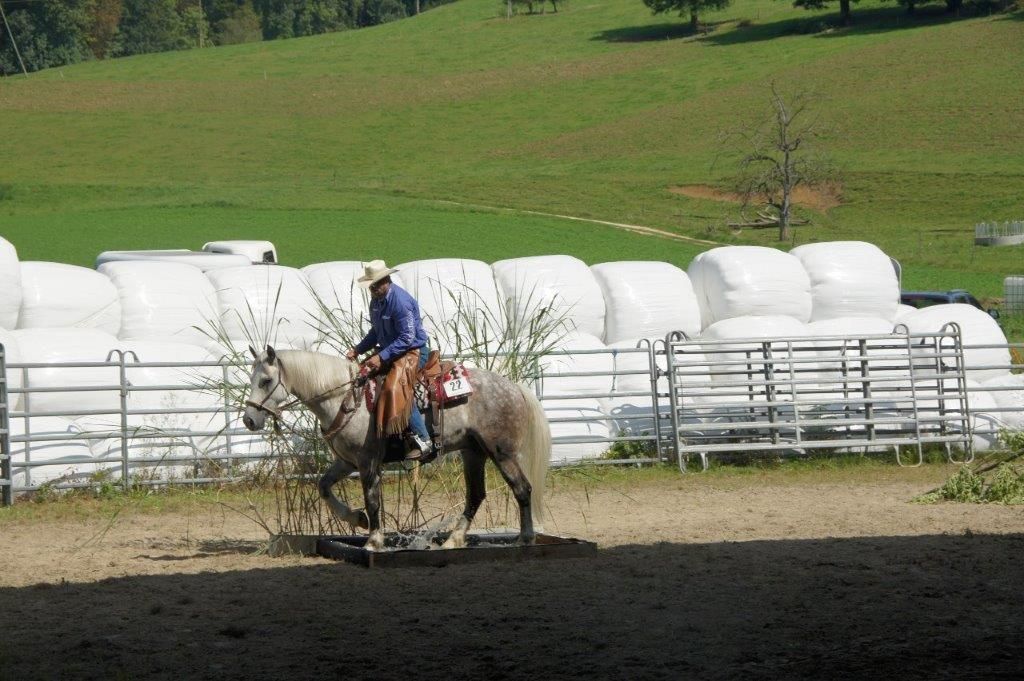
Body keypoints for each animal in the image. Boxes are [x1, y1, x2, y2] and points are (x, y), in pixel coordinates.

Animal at [241, 345, 550, 551]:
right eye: (252, 378)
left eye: (266, 380)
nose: (249, 419)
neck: (345, 398)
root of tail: (515, 388)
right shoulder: (347, 461)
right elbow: (324, 486)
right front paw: (357, 519)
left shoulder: (367, 461)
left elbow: (373, 499)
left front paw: (373, 540)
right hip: (472, 452)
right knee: (475, 495)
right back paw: (454, 539)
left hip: (501, 452)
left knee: (522, 489)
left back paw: (525, 538)